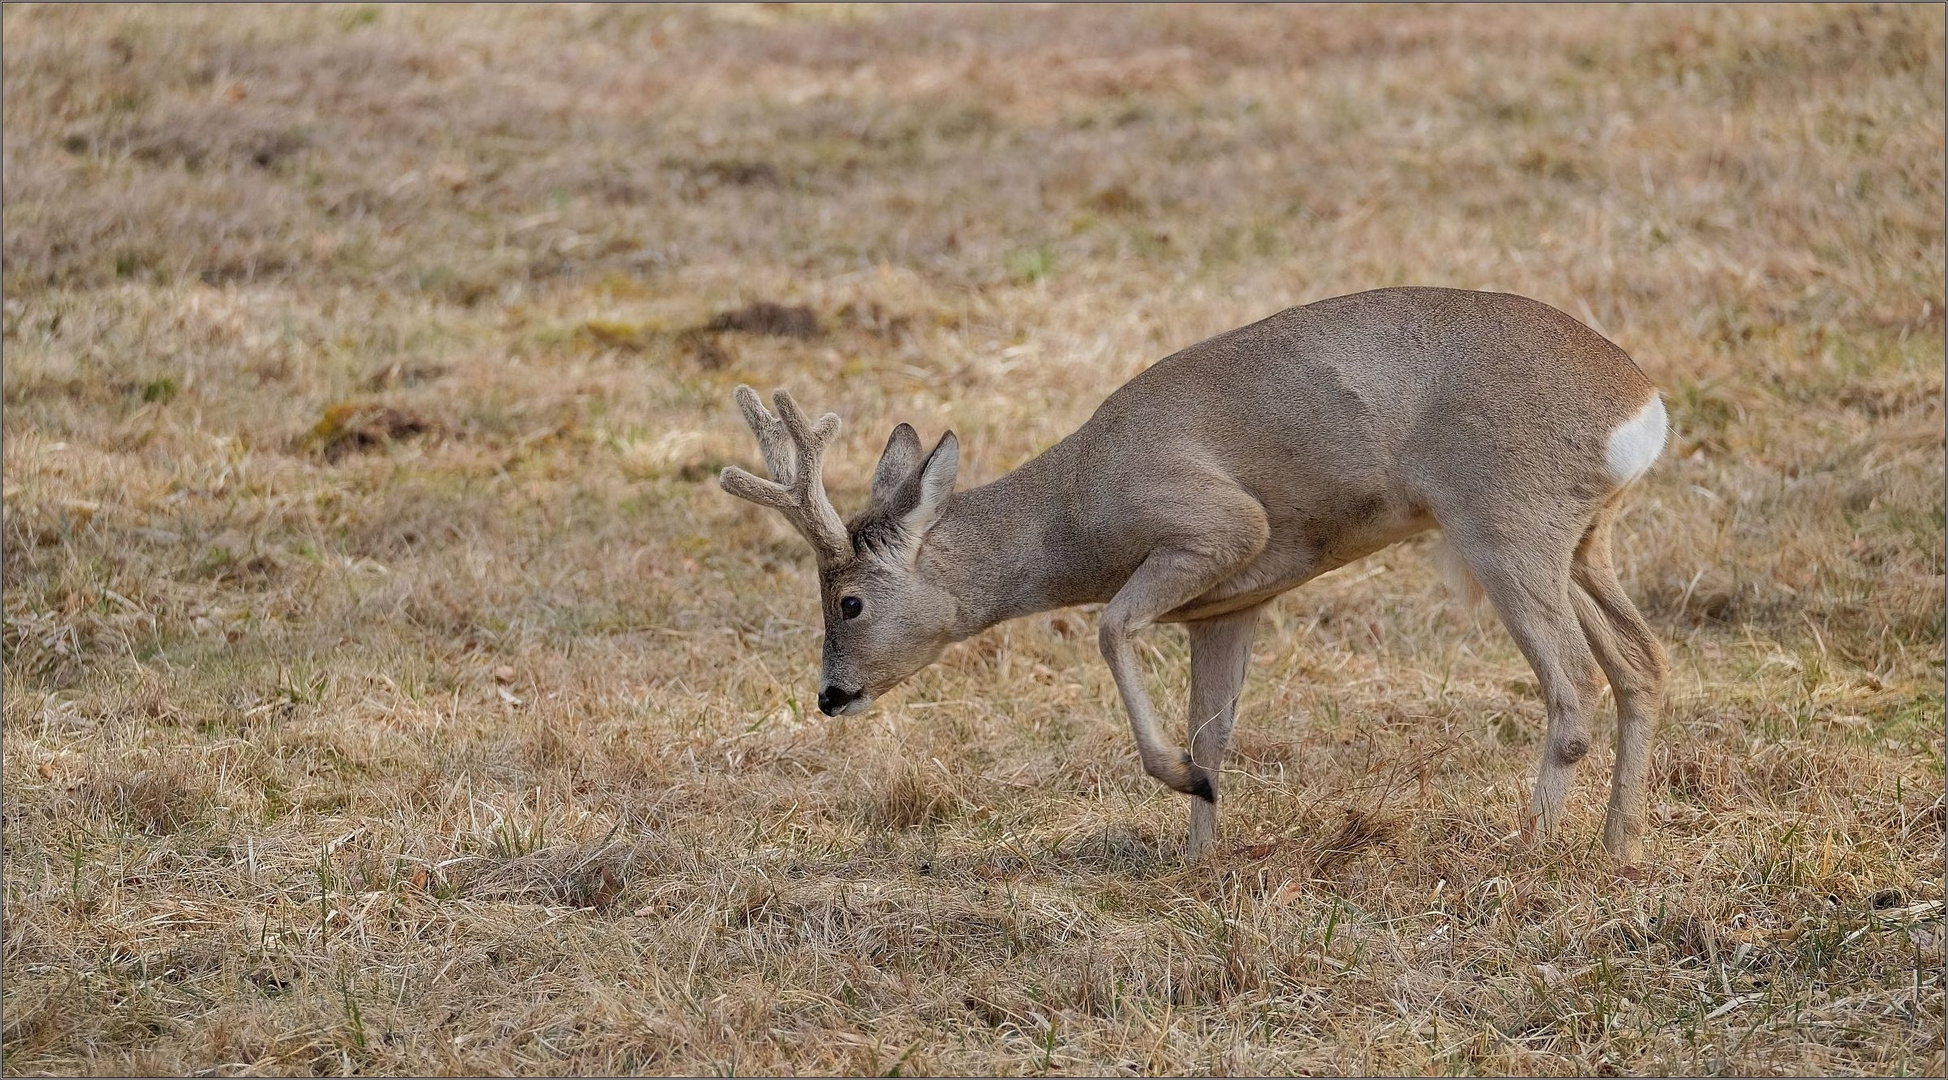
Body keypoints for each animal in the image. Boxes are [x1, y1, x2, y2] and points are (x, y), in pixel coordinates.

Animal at [724, 286, 1667, 857]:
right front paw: (1198, 856)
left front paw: (1179, 780)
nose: (830, 695)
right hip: (1581, 540)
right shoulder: (1230, 606)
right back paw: (1618, 843)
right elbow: (1216, 727)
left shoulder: (1220, 527)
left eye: (848, 602)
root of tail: (1641, 406)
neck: (1076, 510)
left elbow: (1111, 627)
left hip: (1503, 521)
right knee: (1641, 664)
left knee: (1573, 685)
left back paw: (1530, 845)